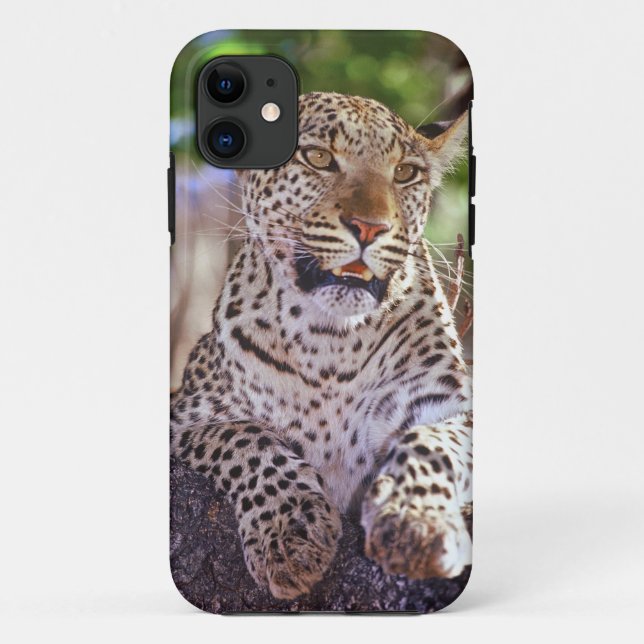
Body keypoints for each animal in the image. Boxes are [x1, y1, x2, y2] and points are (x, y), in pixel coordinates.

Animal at [171, 91, 473, 600]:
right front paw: (288, 532)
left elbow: (432, 443)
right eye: (317, 158)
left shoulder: (445, 403)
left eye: (405, 173)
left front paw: (413, 524)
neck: (332, 342)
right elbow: (244, 438)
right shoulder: (186, 416)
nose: (369, 228)